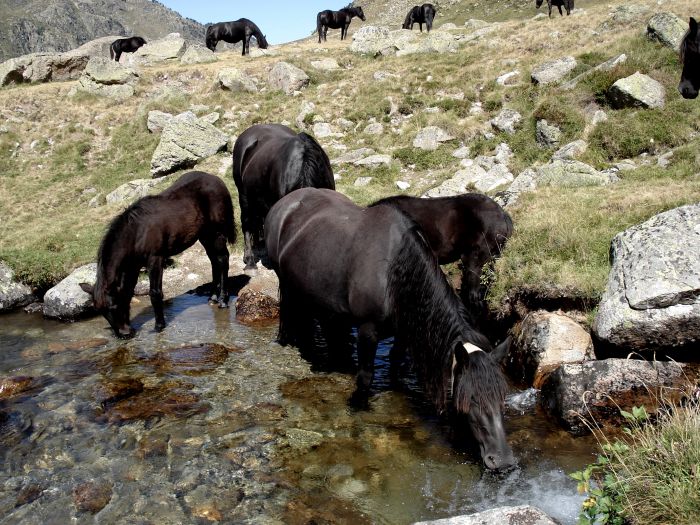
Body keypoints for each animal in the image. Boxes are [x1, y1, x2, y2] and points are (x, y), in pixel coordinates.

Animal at [79, 170, 237, 338]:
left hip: (217, 233)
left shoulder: (155, 260)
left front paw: (159, 325)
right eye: (102, 312)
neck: (137, 232)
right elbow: (129, 291)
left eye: (113, 306)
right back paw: (213, 297)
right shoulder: (133, 267)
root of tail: (217, 180)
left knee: (222, 260)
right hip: (206, 235)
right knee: (214, 261)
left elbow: (154, 292)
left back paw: (223, 300)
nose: (124, 333)